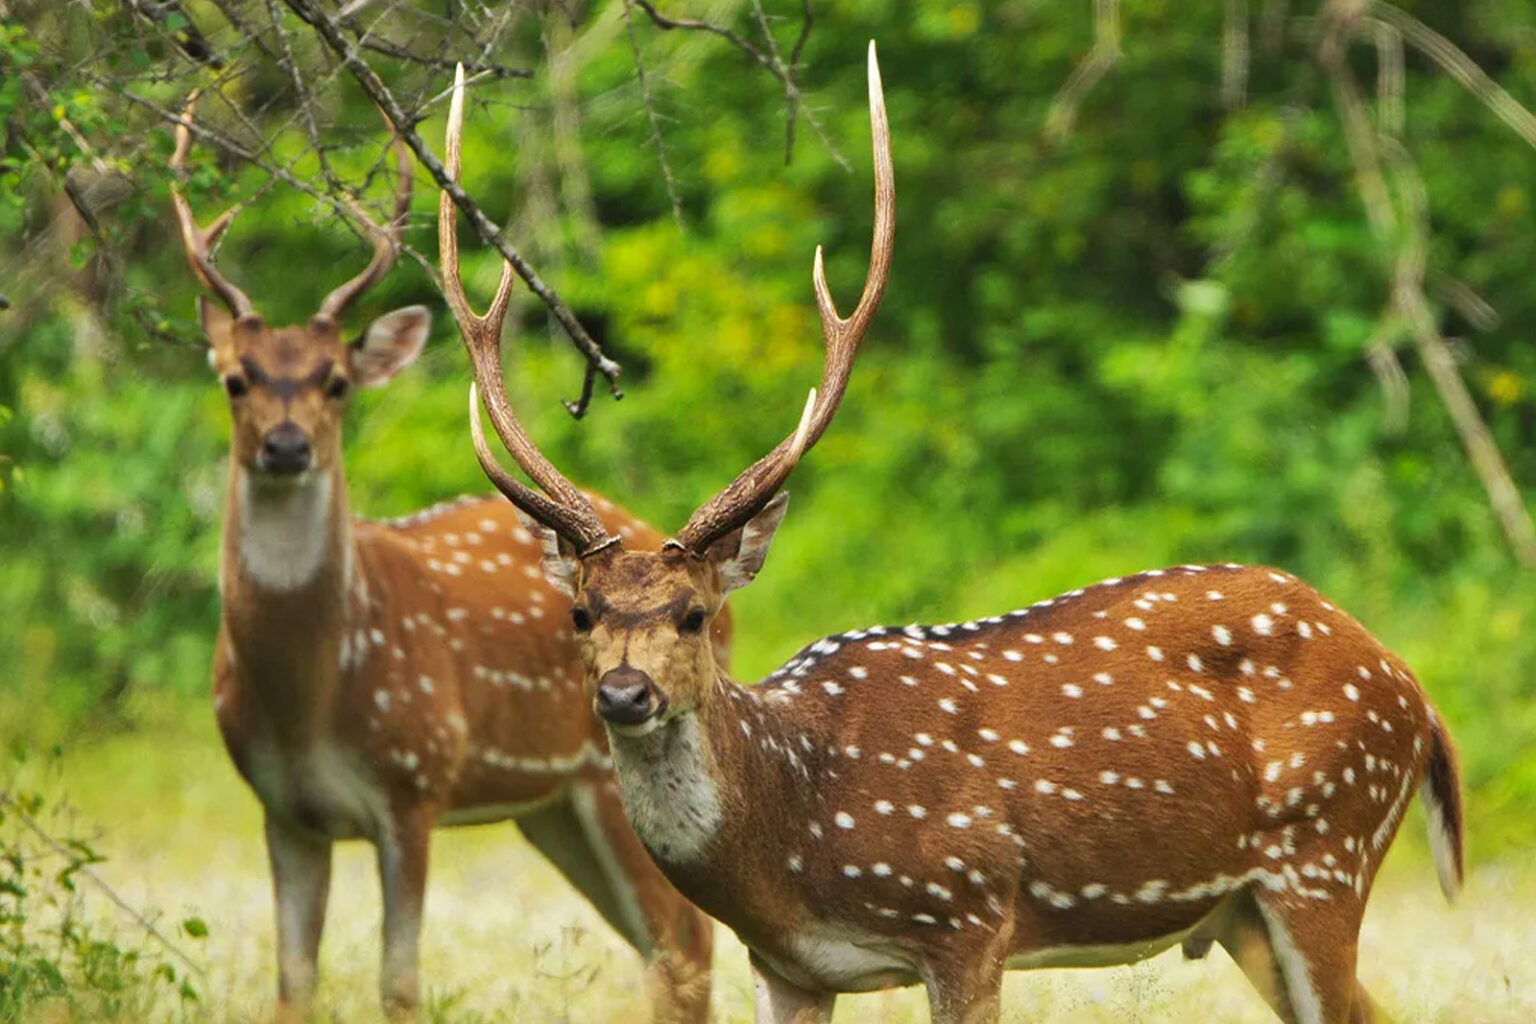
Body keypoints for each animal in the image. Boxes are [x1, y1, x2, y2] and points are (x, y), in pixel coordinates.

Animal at [170, 93, 716, 1022]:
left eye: (336, 381)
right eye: (236, 379)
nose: (286, 446)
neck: (310, 697)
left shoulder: (415, 782)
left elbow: (400, 984)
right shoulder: (281, 807)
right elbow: (292, 985)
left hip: (607, 775)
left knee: (687, 943)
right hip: (551, 807)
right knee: (667, 944)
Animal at [445, 43, 1465, 1024]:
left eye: (694, 614)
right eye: (581, 614)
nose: (624, 693)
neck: (794, 835)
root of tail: (1414, 694)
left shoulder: (971, 911)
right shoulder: (783, 964)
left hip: (1327, 848)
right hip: (1245, 909)